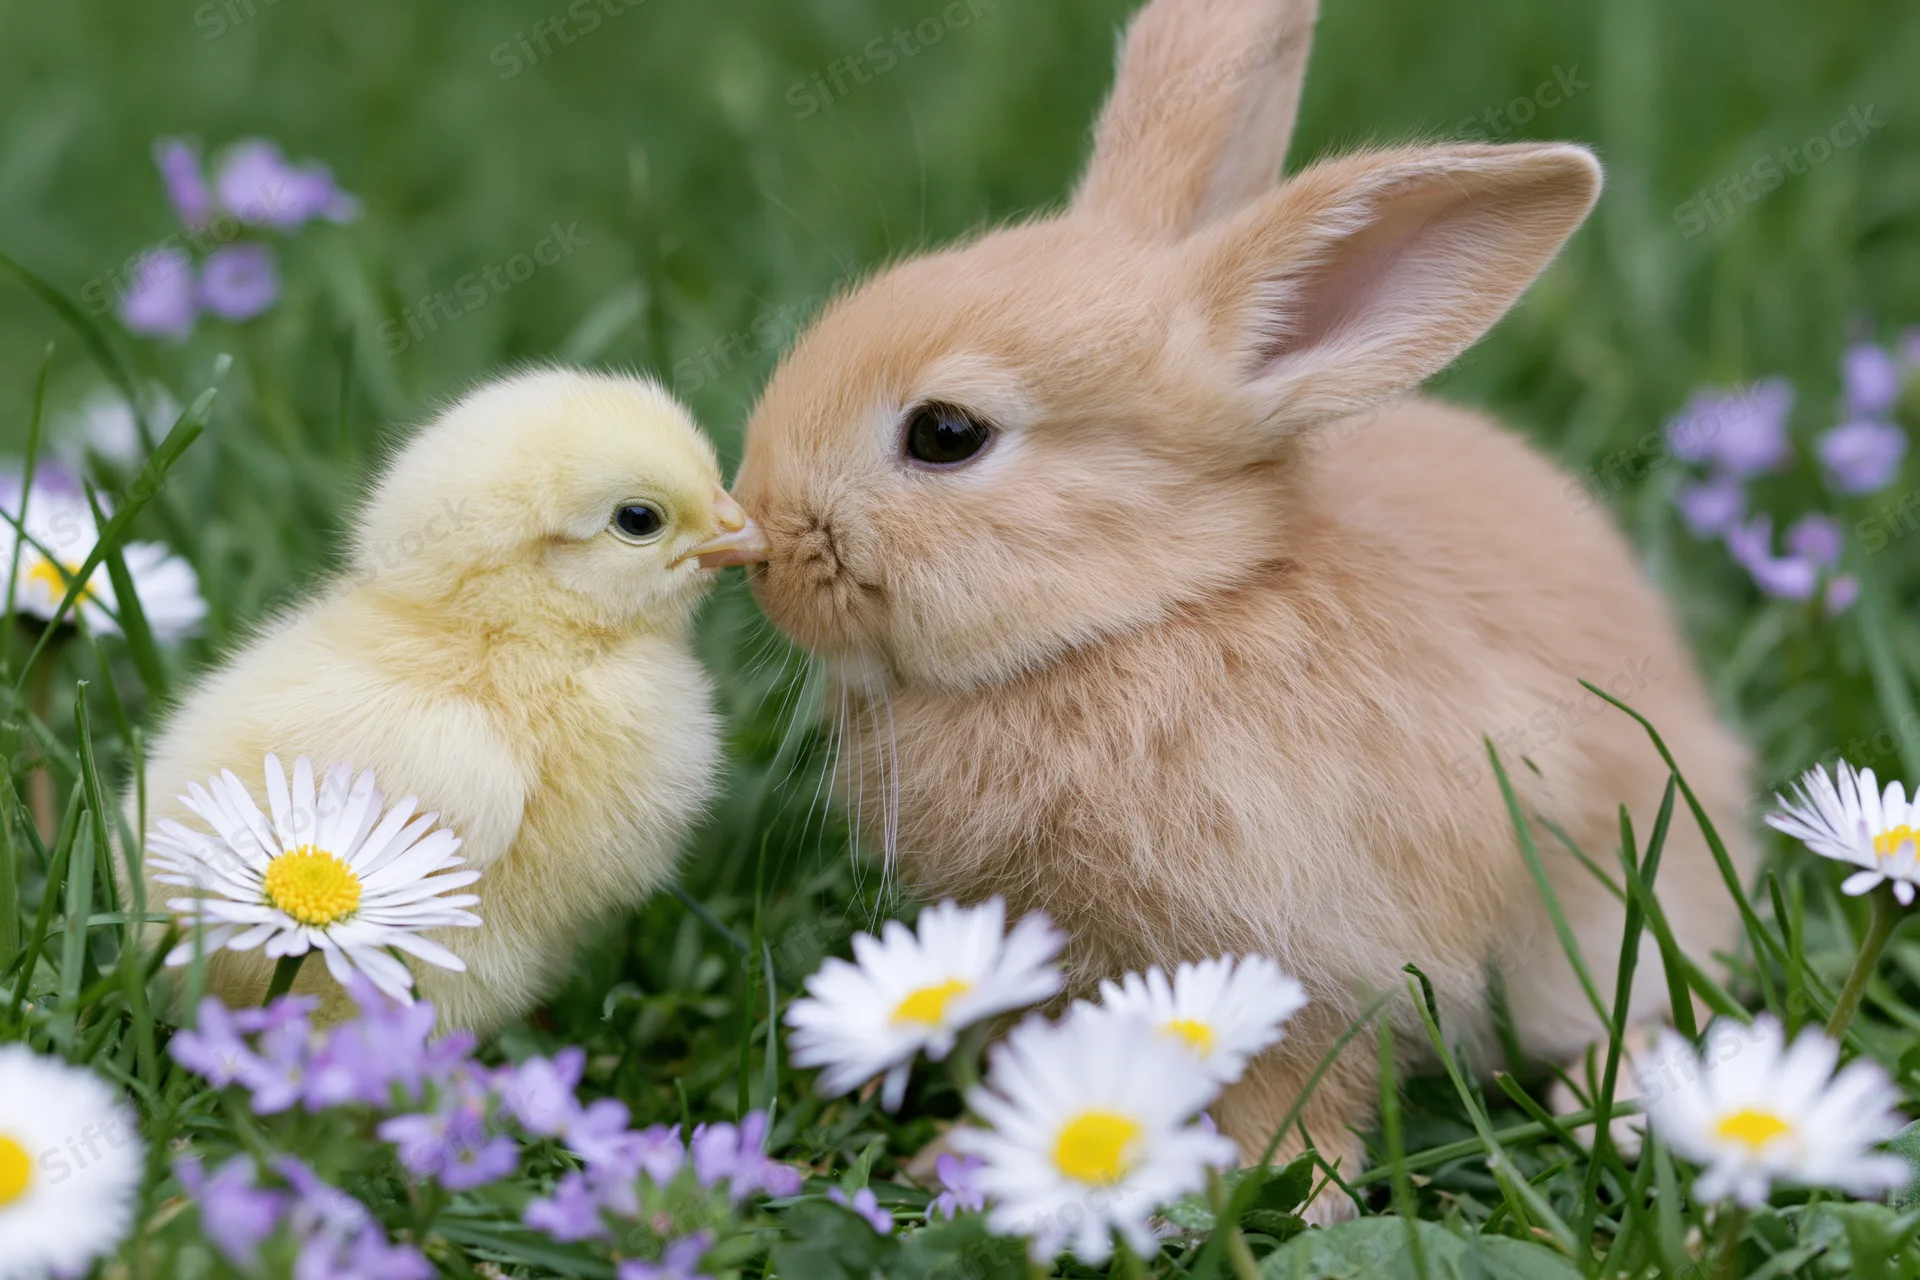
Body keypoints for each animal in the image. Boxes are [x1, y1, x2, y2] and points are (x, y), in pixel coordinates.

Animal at [733, 0, 1756, 1216]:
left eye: (946, 434)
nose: (760, 540)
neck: (1164, 606)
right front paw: (971, 1161)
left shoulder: (1316, 957)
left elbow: (1301, 1085)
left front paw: (1294, 1194)